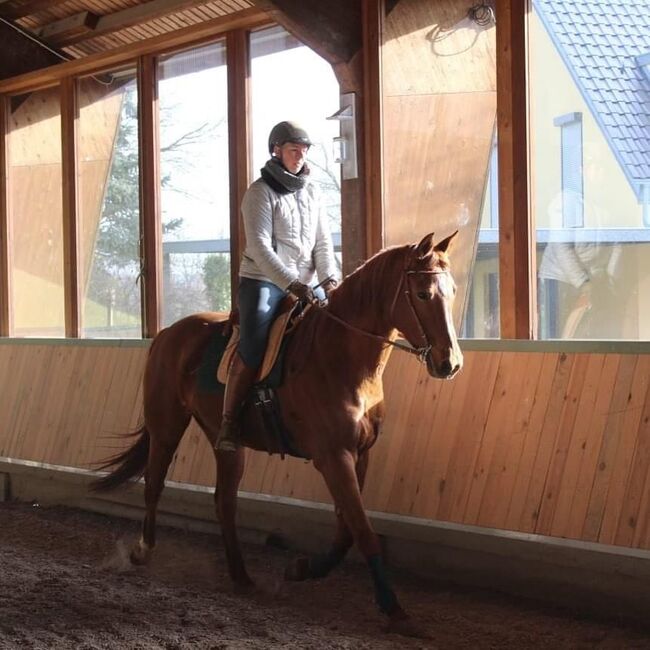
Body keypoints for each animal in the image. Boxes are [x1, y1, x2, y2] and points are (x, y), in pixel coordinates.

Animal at [93, 230, 464, 632]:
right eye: (423, 294)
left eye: (452, 291)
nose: (450, 363)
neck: (339, 357)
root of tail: (167, 333)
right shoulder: (333, 457)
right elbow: (363, 530)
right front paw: (393, 607)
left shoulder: (359, 455)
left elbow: (347, 529)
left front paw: (303, 568)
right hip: (166, 426)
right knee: (155, 484)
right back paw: (142, 551)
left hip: (227, 444)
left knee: (224, 502)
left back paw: (241, 577)